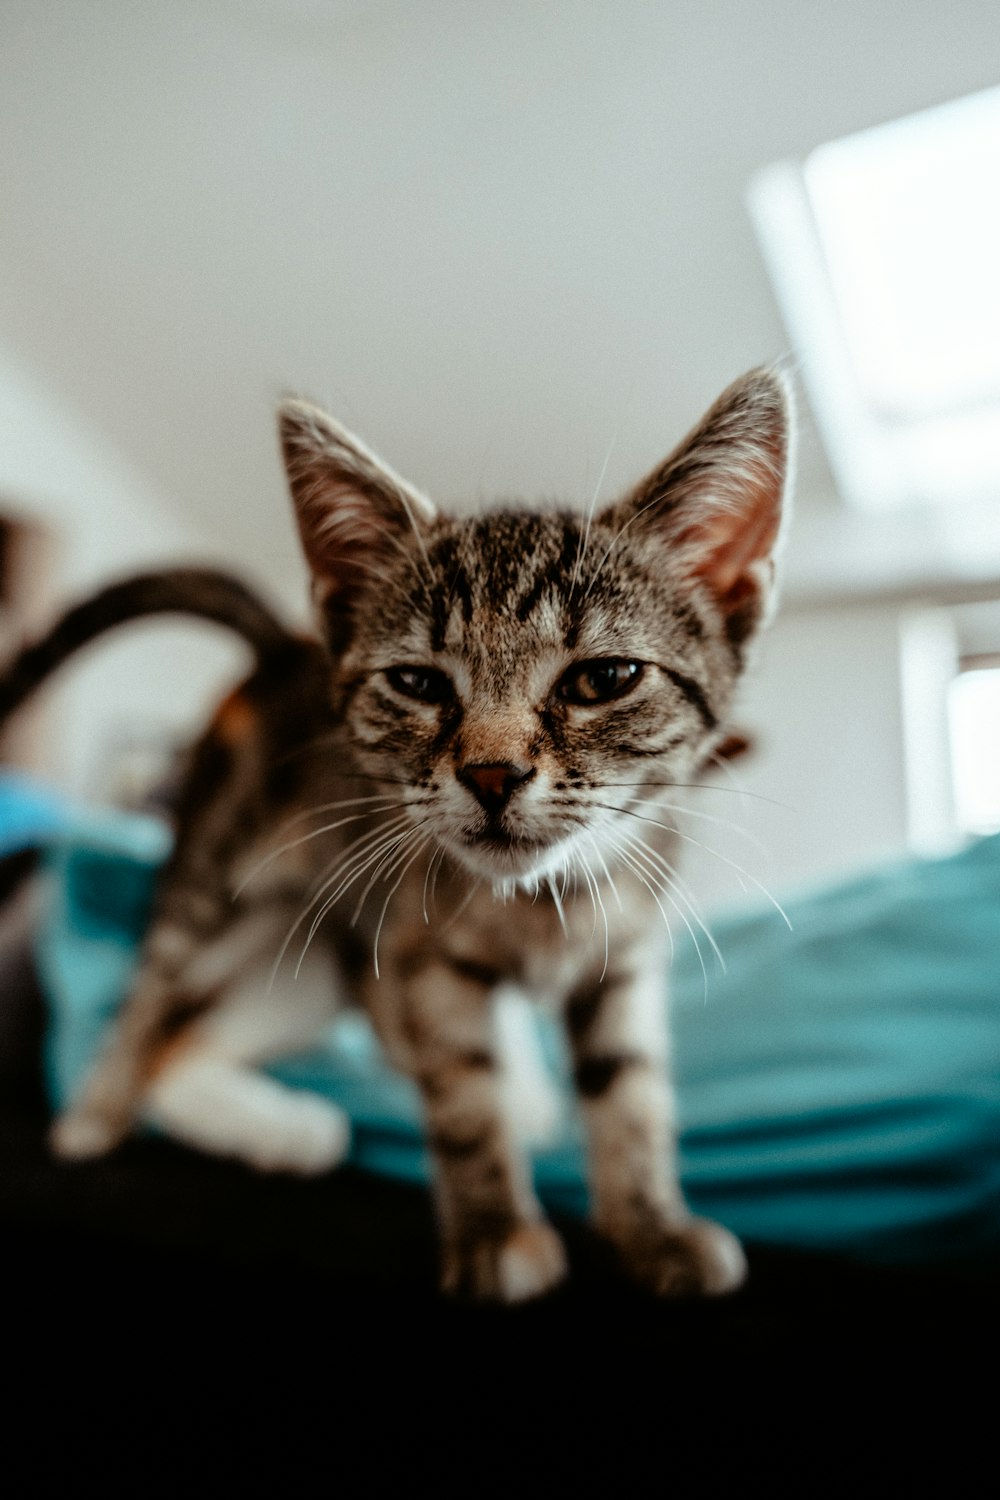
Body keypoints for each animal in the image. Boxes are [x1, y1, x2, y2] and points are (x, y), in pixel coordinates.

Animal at [3, 366, 791, 1302]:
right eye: (417, 683)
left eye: (604, 678)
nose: (491, 774)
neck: (536, 904)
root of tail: (286, 647)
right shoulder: (420, 946)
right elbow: (461, 1082)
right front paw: (495, 1233)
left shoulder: (627, 946)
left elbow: (628, 1083)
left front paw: (650, 1226)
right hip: (218, 871)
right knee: (156, 996)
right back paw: (102, 1111)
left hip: (313, 948)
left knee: (193, 1042)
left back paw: (289, 1124)